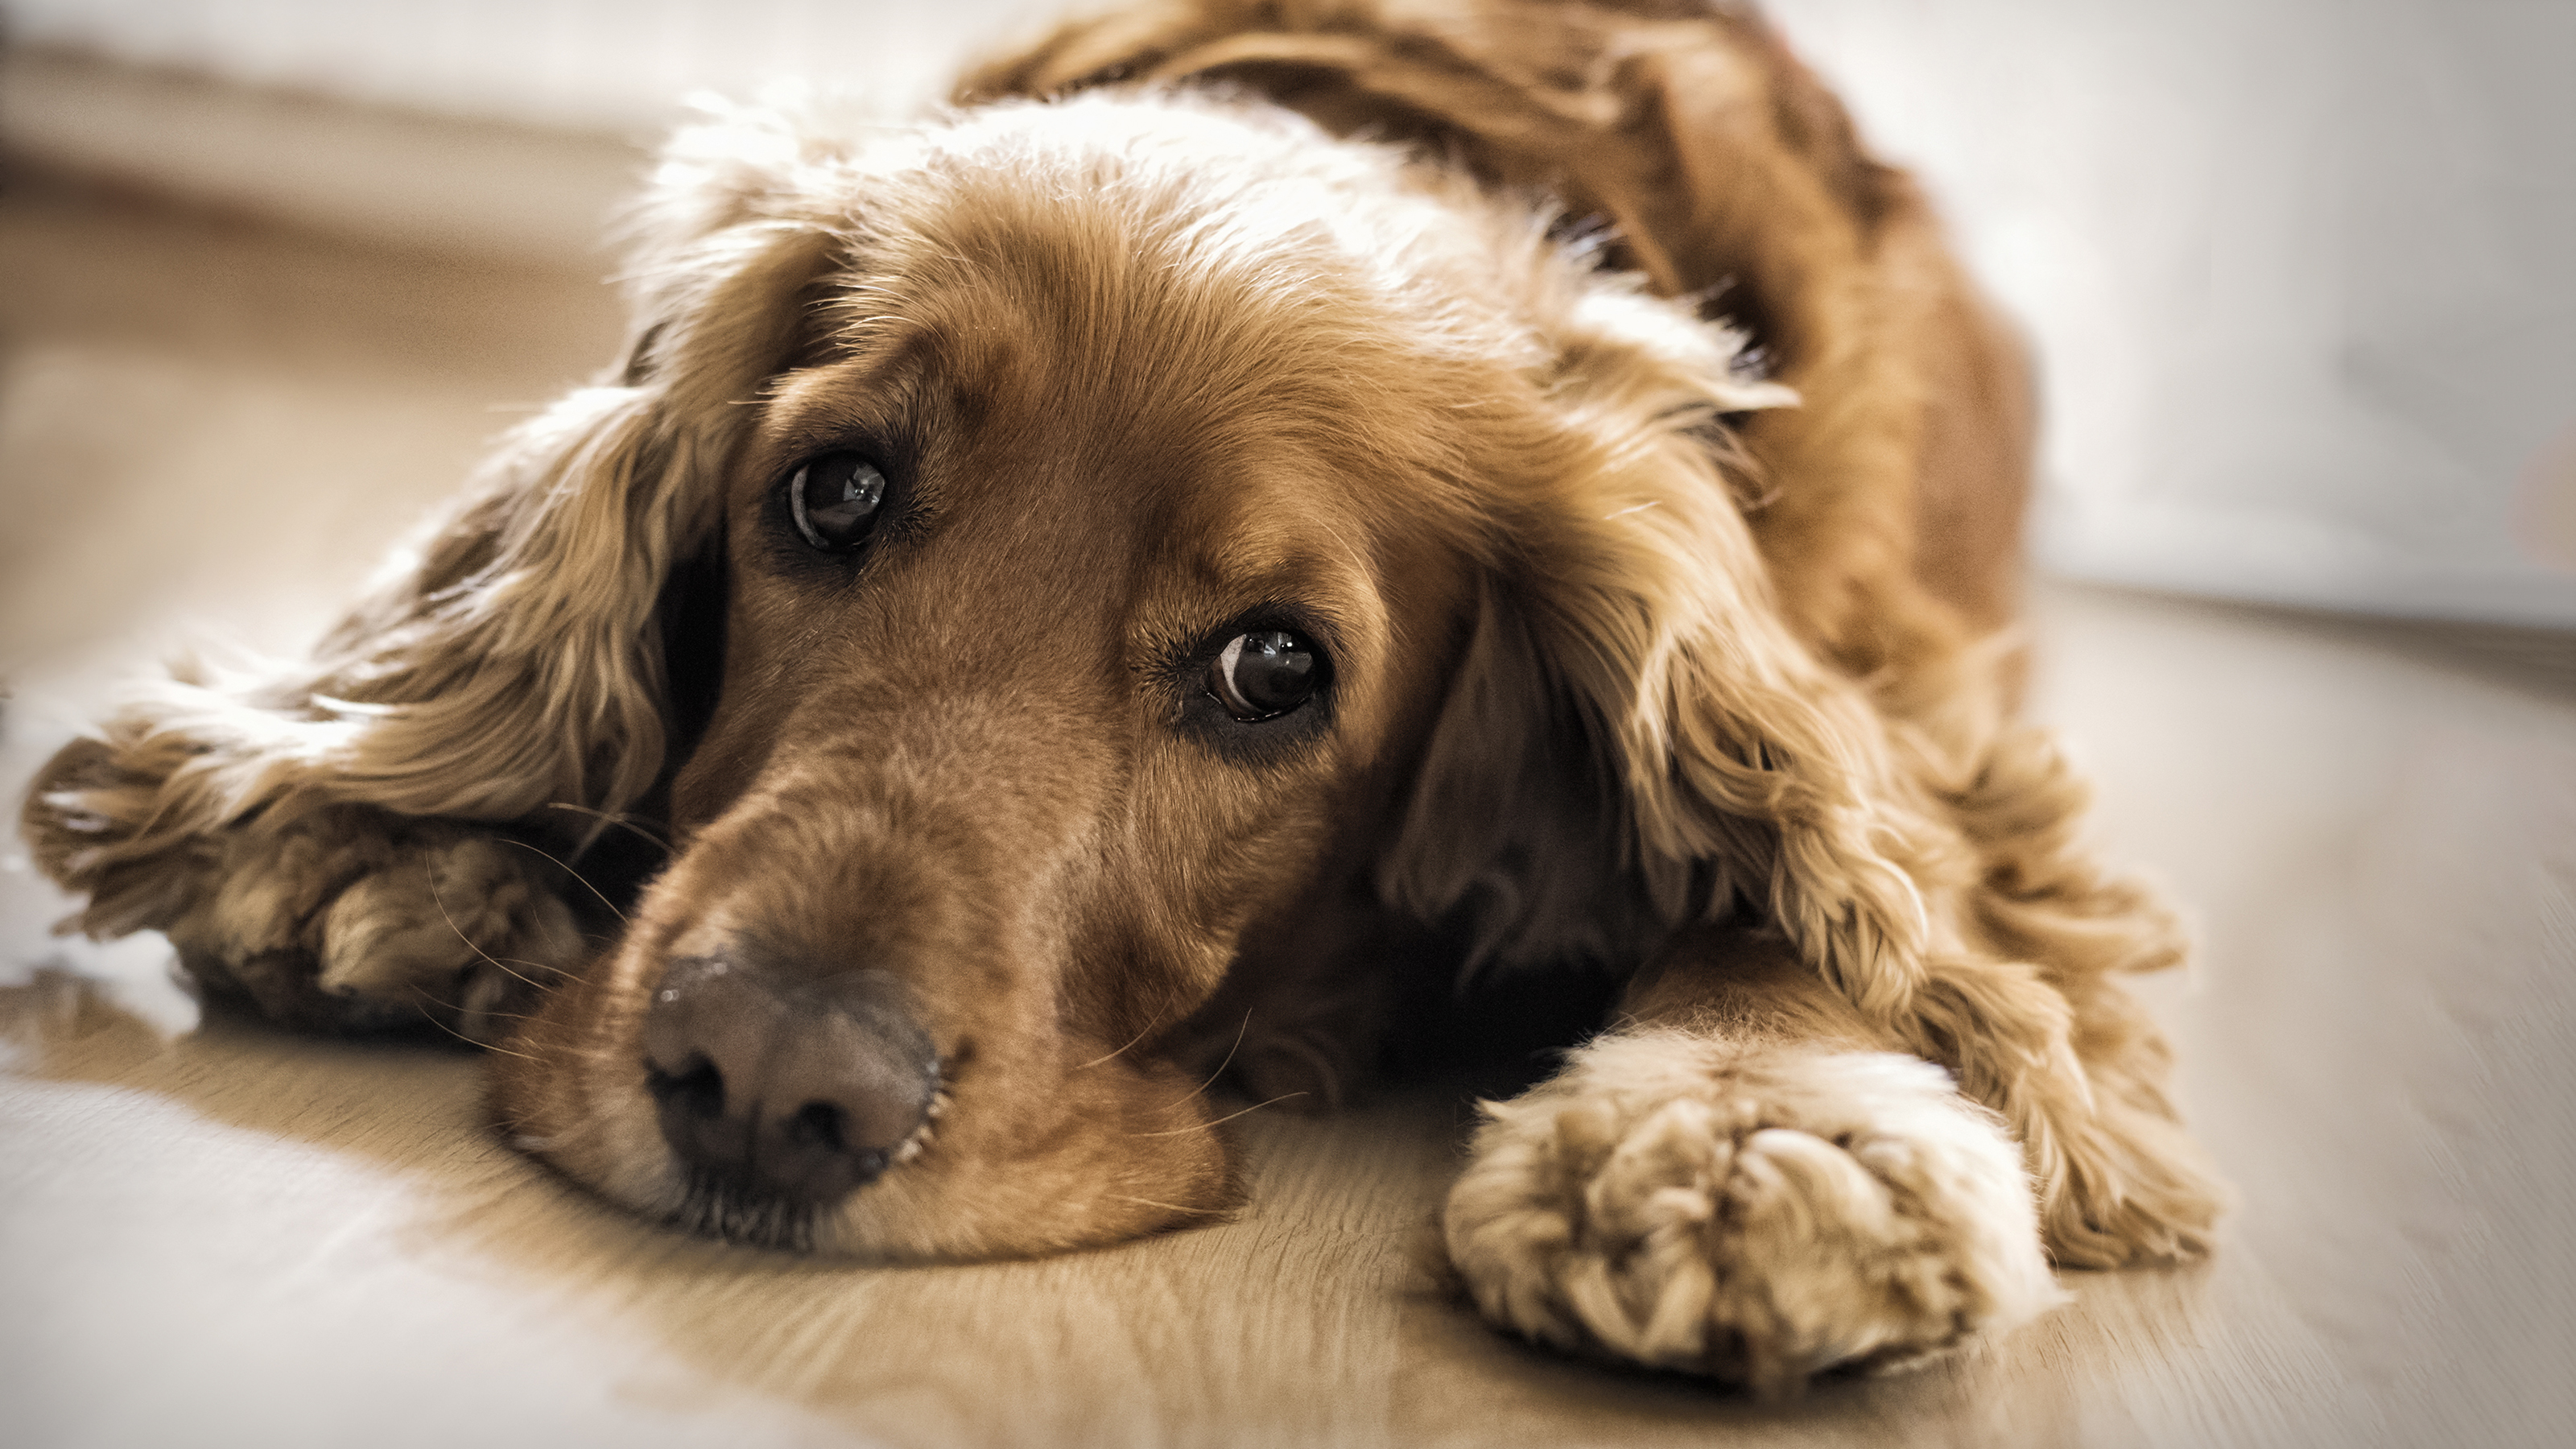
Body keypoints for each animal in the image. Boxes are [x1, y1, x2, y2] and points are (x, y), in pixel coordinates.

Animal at [25, 0, 2215, 1381]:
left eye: (1273, 670)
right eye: (831, 492)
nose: (769, 1084)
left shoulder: (1928, 701)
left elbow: (1841, 880)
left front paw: (1752, 1126)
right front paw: (372, 835)